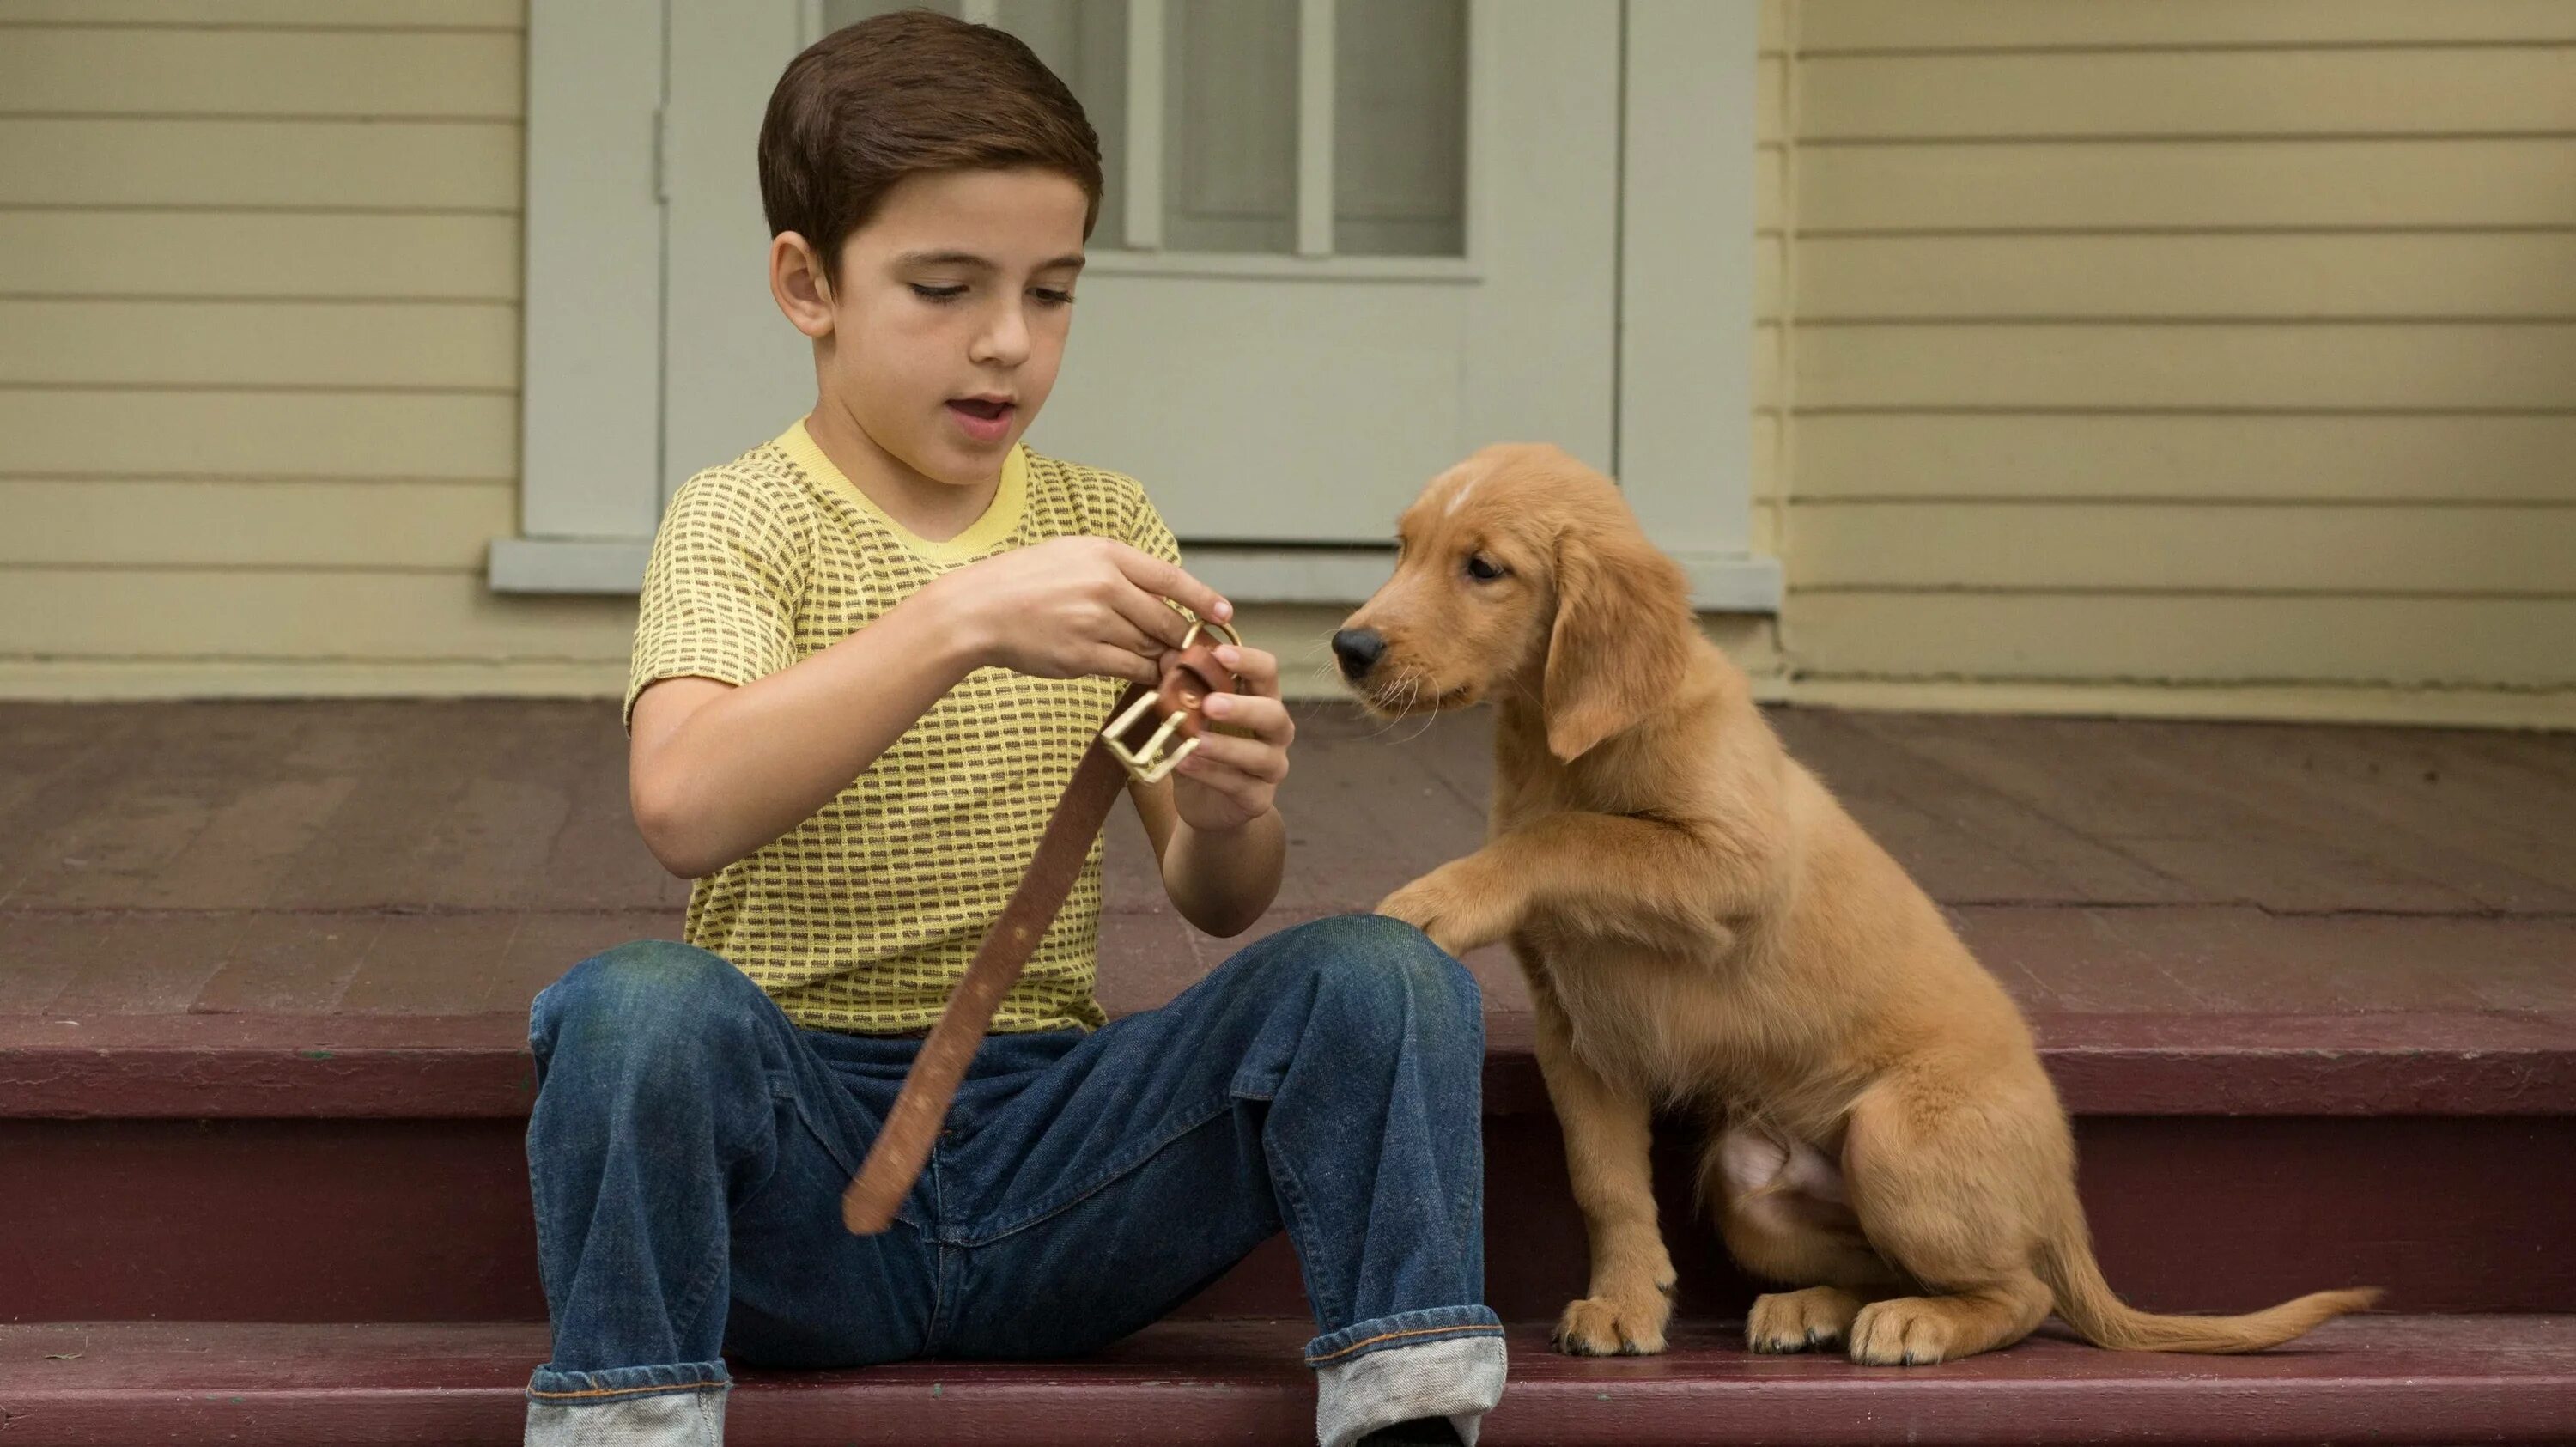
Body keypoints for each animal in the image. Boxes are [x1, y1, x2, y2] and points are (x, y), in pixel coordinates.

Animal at [1350, 442, 2370, 1359]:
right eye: (1402, 548)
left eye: (1484, 567)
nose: (1347, 645)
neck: (1560, 747)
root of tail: (2060, 1198)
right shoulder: (1579, 1035)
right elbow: (1605, 1183)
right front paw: (1627, 1301)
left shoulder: (1734, 861)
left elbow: (1569, 835)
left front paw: (1437, 896)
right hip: (1752, 1187)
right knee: (1895, 1265)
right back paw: (1815, 1309)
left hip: (1891, 1137)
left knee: (2022, 1293)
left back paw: (1917, 1323)